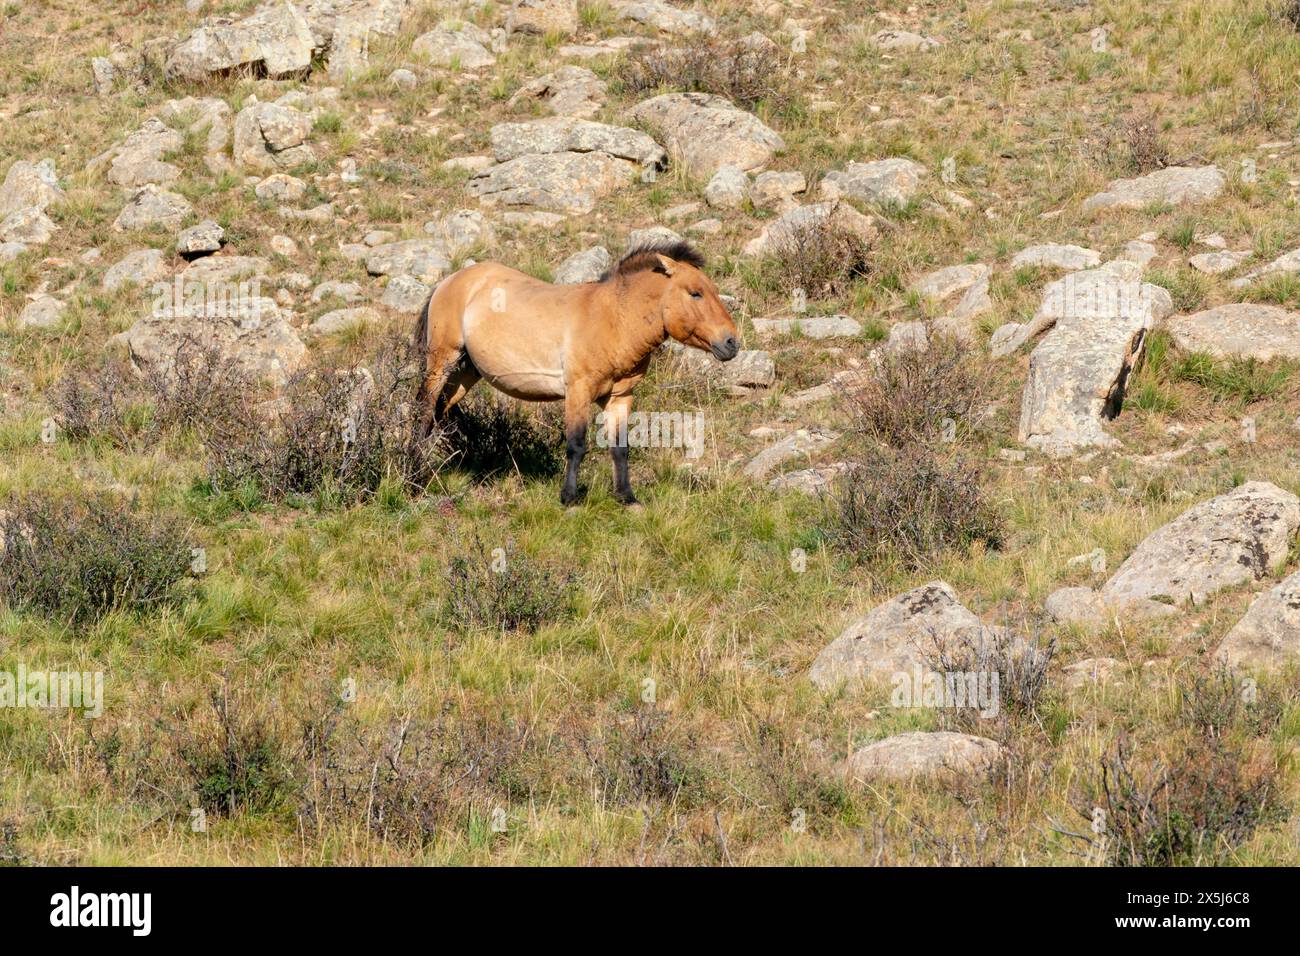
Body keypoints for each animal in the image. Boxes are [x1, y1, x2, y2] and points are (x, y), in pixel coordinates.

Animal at [416, 240, 743, 509]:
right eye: (695, 293)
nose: (732, 342)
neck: (613, 320)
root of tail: (450, 281)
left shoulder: (620, 397)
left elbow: (620, 448)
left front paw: (627, 497)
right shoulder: (578, 390)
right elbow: (576, 445)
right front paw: (570, 498)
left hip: (466, 373)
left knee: (439, 414)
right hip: (442, 361)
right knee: (424, 411)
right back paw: (416, 473)